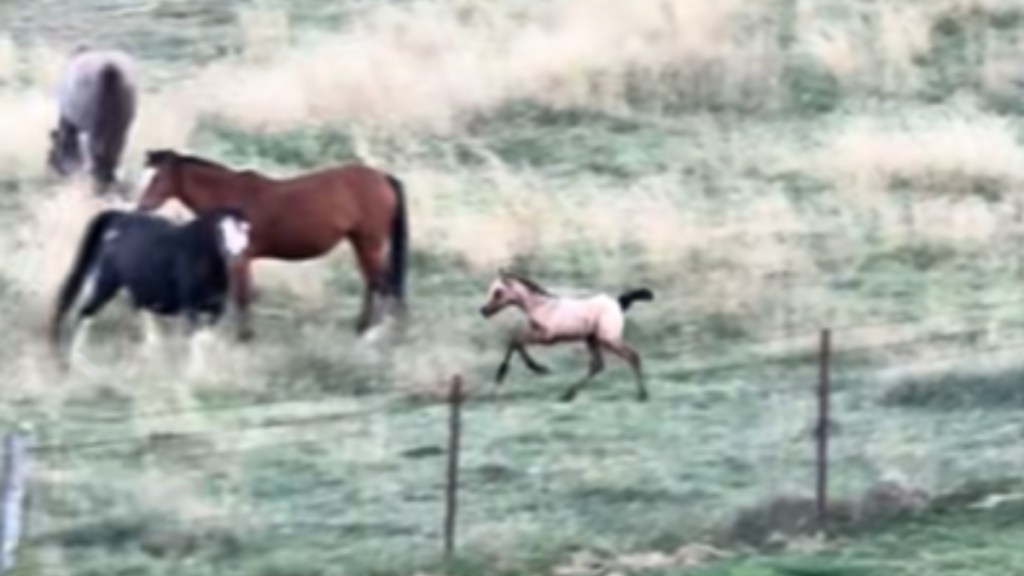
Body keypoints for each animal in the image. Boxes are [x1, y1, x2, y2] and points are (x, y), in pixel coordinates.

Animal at [47, 48, 138, 194]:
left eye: (52, 152)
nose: (50, 165)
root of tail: (110, 69)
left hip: (95, 126)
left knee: (97, 152)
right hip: (121, 126)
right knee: (113, 153)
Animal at [48, 207, 252, 366]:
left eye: (243, 230)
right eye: (220, 231)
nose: (234, 253)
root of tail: (120, 217)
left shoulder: (215, 307)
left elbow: (205, 338)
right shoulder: (190, 307)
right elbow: (195, 338)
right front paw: (194, 373)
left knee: (139, 315)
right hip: (107, 282)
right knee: (86, 313)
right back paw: (76, 360)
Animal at [135, 148, 407, 336]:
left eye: (158, 177)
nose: (142, 206)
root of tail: (382, 177)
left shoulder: (240, 259)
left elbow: (242, 296)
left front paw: (244, 337)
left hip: (369, 243)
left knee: (382, 285)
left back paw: (376, 332)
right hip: (360, 243)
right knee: (374, 283)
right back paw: (363, 326)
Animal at [475, 268, 651, 399]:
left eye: (498, 292)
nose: (483, 311)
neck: (541, 307)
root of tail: (618, 303)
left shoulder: (546, 337)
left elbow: (516, 340)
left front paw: (539, 369)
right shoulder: (537, 334)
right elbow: (514, 341)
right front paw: (502, 376)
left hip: (608, 339)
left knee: (632, 356)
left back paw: (642, 395)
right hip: (592, 339)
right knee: (597, 365)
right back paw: (568, 395)